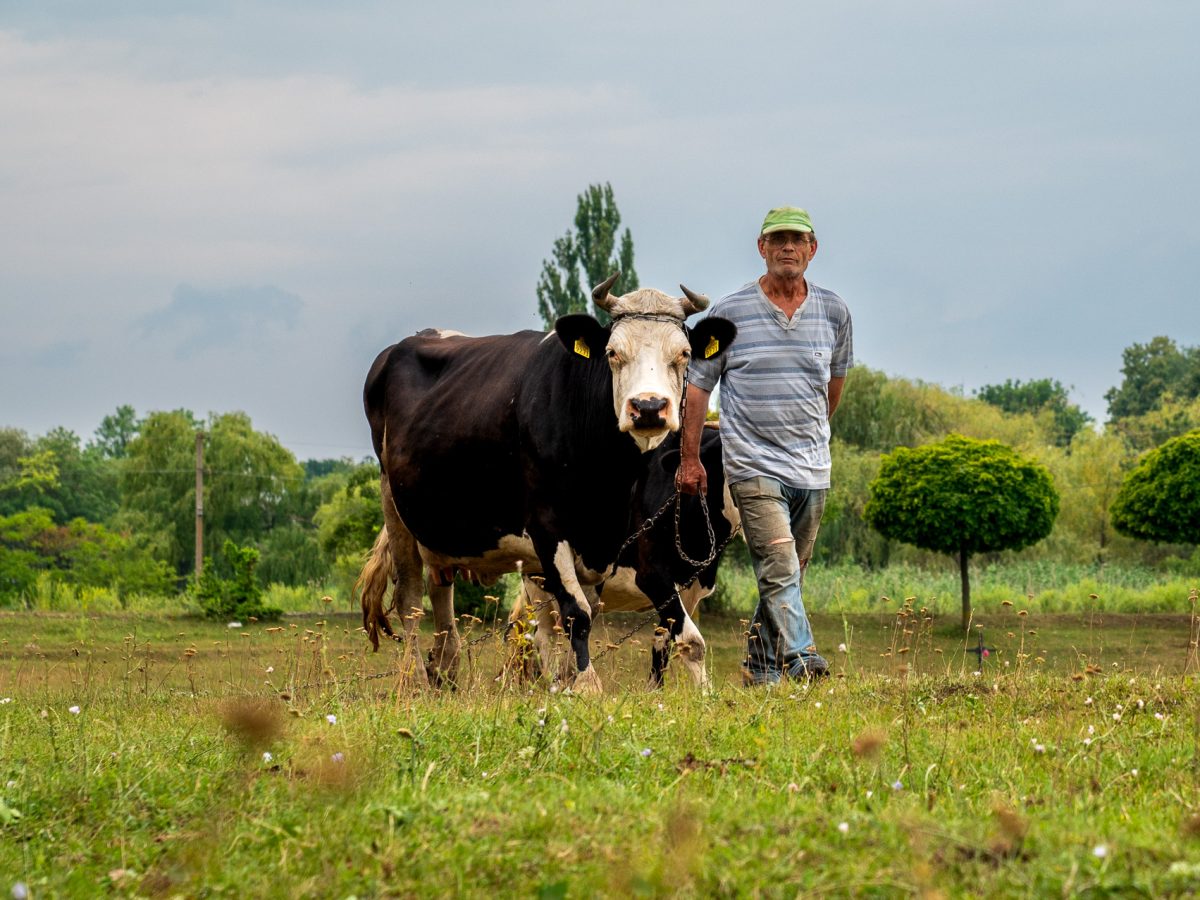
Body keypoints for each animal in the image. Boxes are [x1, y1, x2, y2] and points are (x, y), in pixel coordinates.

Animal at [508, 427, 739, 691]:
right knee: (545, 636)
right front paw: (707, 695)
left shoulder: (689, 590)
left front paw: (654, 692)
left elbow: (664, 642)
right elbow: (693, 642)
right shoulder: (653, 576)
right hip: (540, 579)